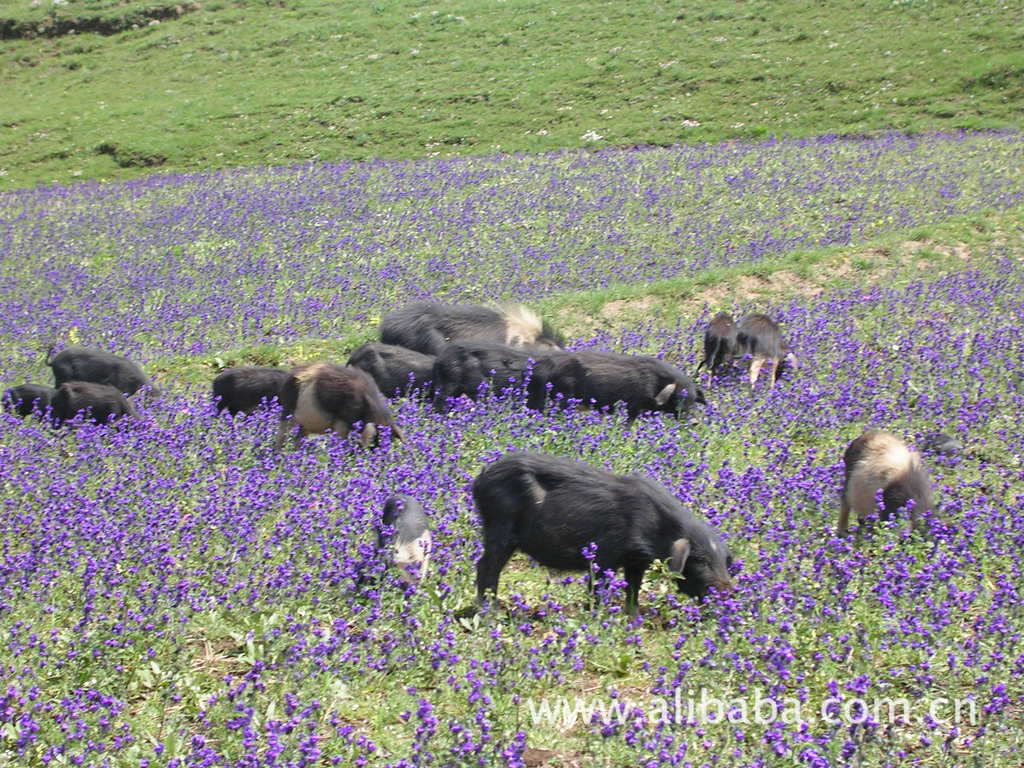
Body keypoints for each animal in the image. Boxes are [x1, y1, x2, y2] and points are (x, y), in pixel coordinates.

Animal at [475, 454, 733, 618]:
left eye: (723, 561)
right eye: (700, 561)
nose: (729, 592)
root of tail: (481, 477)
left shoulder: (635, 561)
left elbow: (633, 588)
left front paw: (634, 620)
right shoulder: (605, 554)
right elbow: (598, 587)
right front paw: (597, 618)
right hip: (500, 526)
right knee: (486, 566)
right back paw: (490, 614)